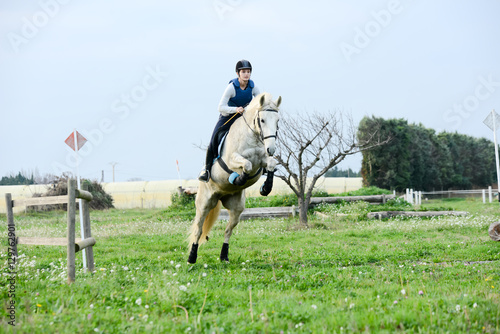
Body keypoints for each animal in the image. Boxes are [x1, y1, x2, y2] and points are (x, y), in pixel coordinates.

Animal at [188, 92, 282, 264]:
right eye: (262, 120)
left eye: (277, 121)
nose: (271, 149)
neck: (252, 135)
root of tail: (220, 195)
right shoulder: (232, 159)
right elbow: (247, 165)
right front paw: (238, 179)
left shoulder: (262, 160)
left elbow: (271, 163)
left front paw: (265, 188)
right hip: (204, 204)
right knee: (198, 229)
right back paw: (192, 257)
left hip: (237, 208)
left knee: (228, 230)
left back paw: (224, 256)